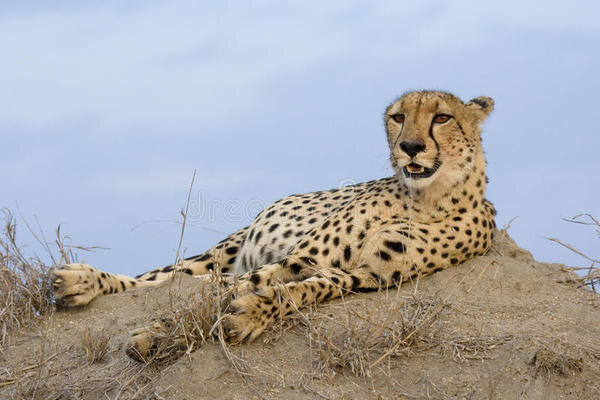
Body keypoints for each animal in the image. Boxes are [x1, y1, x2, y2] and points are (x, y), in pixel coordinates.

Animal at [54, 91, 496, 362]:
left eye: (442, 117)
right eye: (398, 117)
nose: (410, 147)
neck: (424, 197)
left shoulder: (369, 275)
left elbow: (302, 290)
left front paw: (248, 316)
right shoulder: (300, 257)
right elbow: (227, 290)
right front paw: (159, 332)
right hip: (220, 253)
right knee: (163, 279)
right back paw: (80, 281)